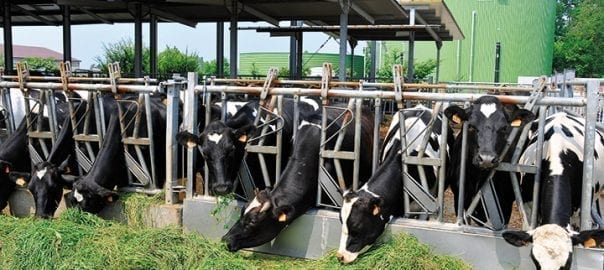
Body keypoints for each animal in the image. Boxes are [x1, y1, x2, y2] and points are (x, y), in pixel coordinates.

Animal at [444, 95, 532, 226]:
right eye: (471, 126)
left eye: (504, 128)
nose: (486, 159)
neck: (477, 177)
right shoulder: (459, 199)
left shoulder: (505, 205)